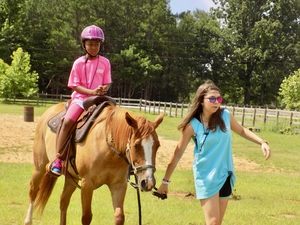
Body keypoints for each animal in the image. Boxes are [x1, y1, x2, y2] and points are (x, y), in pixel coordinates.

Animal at [23, 102, 164, 225]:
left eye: (157, 145)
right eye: (136, 145)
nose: (148, 182)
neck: (108, 150)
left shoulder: (119, 185)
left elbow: (119, 217)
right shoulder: (87, 184)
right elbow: (86, 217)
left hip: (71, 178)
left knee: (63, 201)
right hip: (39, 167)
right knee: (33, 191)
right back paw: (28, 220)